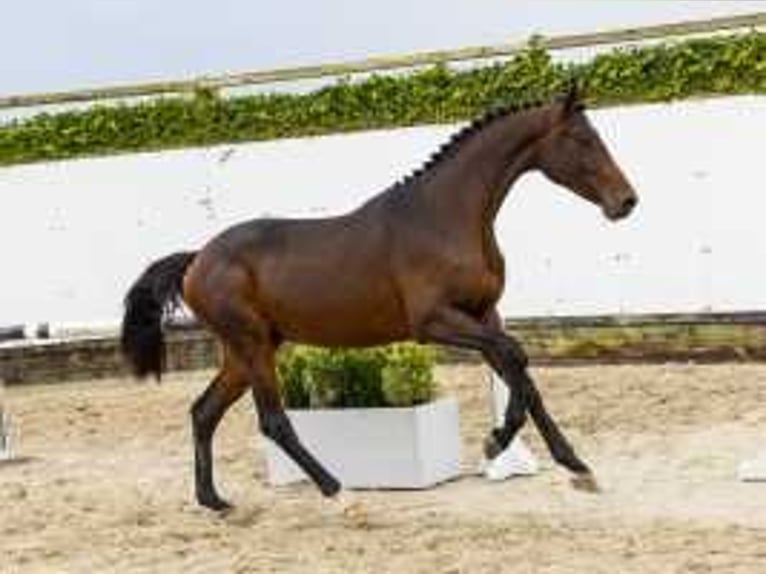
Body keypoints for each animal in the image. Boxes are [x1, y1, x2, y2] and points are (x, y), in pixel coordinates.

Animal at [123, 86, 640, 512]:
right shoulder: (435, 322)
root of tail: (196, 259)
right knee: (272, 420)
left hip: (248, 349)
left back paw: (213, 500)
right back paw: (338, 493)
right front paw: (496, 443)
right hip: (251, 346)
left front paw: (577, 468)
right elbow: (517, 361)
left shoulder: (483, 315)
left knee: (204, 411)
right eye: (581, 139)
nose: (626, 202)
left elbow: (523, 376)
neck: (446, 216)